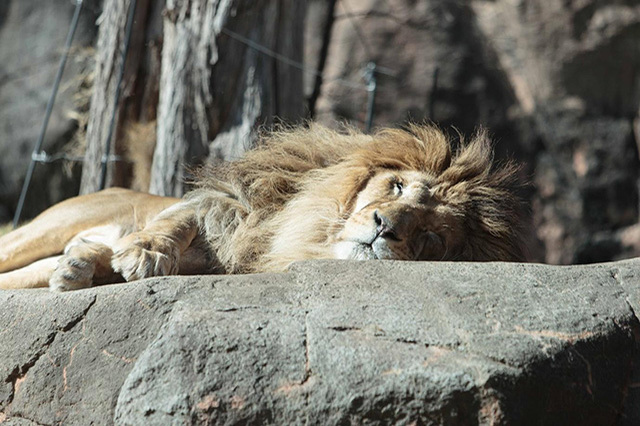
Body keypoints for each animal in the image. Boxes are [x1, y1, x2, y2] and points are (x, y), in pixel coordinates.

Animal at [0, 123, 524, 290]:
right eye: (396, 187)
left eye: (432, 237)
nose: (383, 226)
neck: (309, 237)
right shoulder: (229, 205)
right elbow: (177, 223)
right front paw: (144, 251)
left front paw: (109, 261)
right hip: (43, 231)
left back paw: (77, 267)